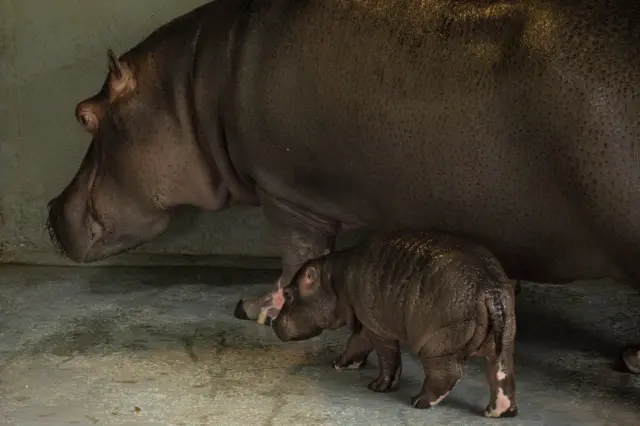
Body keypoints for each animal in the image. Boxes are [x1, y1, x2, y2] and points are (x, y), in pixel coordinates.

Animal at [46, 0, 640, 372]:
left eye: (83, 115)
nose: (49, 211)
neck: (187, 90)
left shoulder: (284, 192)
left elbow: (295, 256)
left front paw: (253, 307)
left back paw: (630, 361)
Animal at [272, 231, 516, 418]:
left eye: (288, 293)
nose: (272, 322)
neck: (333, 279)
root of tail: (490, 287)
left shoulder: (377, 328)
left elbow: (386, 356)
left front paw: (377, 387)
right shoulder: (366, 322)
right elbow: (355, 344)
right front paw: (338, 364)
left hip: (436, 345)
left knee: (447, 374)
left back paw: (419, 401)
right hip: (503, 342)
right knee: (501, 374)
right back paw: (497, 412)